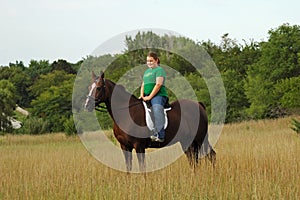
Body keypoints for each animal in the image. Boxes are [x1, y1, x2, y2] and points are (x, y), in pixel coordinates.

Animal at [84, 70, 216, 172]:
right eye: (89, 88)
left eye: (98, 88)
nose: (87, 105)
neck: (126, 113)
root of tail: (199, 105)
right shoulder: (125, 147)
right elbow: (128, 167)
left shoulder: (139, 146)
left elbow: (142, 168)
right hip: (186, 141)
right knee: (194, 160)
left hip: (198, 140)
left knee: (208, 156)